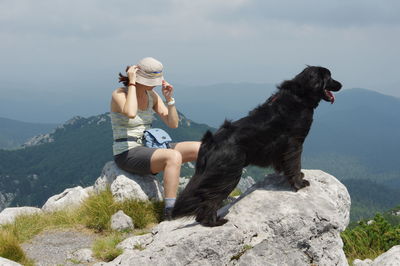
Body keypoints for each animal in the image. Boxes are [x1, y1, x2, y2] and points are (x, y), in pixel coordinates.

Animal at [171, 65, 340, 225]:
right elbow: (294, 164)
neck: (300, 96)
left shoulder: (282, 149)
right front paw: (299, 183)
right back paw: (213, 222)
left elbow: (284, 165)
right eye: (329, 77)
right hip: (228, 175)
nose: (341, 84)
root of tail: (211, 141)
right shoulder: (295, 143)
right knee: (209, 197)